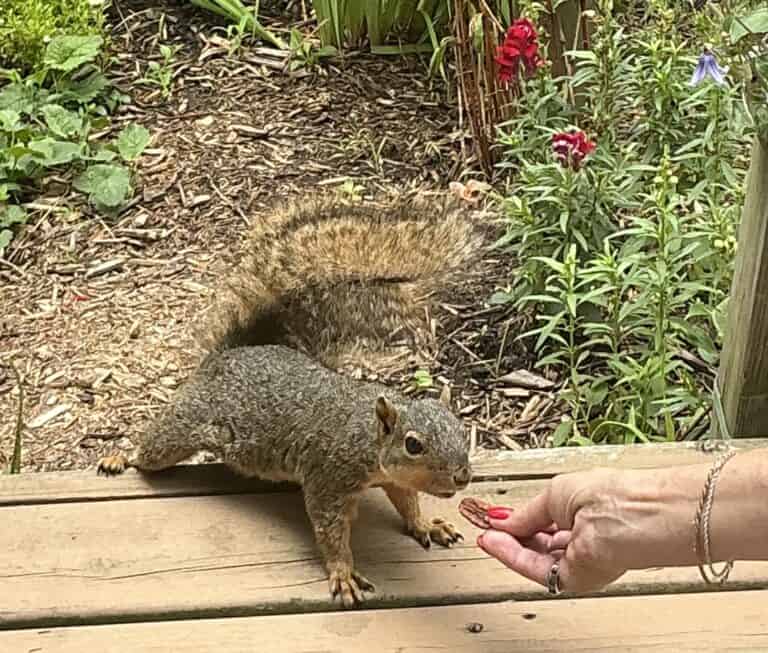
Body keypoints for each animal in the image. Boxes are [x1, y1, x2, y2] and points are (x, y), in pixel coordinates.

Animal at [97, 192, 485, 608]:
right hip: (186, 423)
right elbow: (329, 529)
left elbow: (407, 500)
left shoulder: (392, 479)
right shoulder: (328, 477)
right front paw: (343, 572)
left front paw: (426, 523)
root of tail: (229, 354)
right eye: (413, 444)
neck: (367, 435)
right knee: (151, 450)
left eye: (462, 431)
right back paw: (119, 458)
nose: (462, 476)